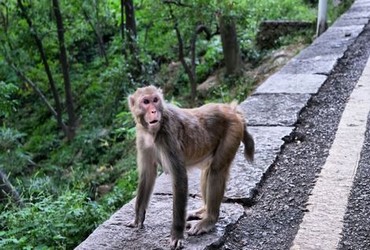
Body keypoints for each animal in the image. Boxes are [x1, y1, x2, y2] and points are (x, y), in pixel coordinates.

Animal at [127, 85, 254, 248]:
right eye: (146, 102)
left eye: (155, 100)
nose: (153, 111)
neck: (152, 131)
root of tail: (231, 110)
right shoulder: (142, 138)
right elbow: (147, 175)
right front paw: (138, 218)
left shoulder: (168, 136)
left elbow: (180, 178)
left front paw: (176, 234)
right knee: (208, 170)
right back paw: (203, 211)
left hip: (233, 131)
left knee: (216, 170)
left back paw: (209, 219)